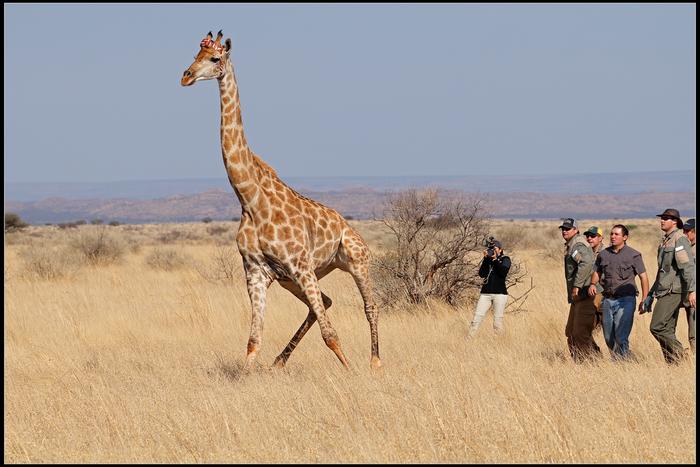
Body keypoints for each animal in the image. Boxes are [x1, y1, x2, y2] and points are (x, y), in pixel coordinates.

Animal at [178, 31, 380, 372]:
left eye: (214, 58)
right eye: (195, 55)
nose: (186, 76)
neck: (250, 199)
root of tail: (347, 225)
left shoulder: (299, 265)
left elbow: (331, 335)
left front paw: (350, 371)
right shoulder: (257, 272)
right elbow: (253, 339)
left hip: (355, 260)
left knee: (370, 306)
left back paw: (375, 362)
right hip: (298, 277)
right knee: (324, 302)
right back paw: (278, 362)